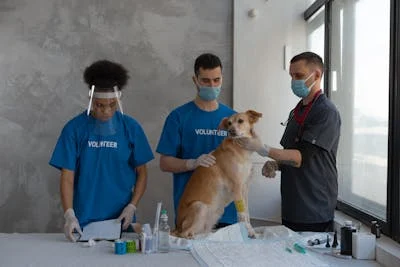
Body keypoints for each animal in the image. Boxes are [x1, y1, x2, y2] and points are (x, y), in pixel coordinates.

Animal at [173, 110, 260, 240]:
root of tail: (177, 226)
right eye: (229, 123)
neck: (240, 149)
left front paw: (252, 231)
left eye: (240, 121)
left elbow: (247, 213)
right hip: (200, 206)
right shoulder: (237, 187)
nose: (231, 131)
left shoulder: (244, 188)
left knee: (202, 231)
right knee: (183, 234)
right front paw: (249, 232)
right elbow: (242, 215)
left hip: (216, 212)